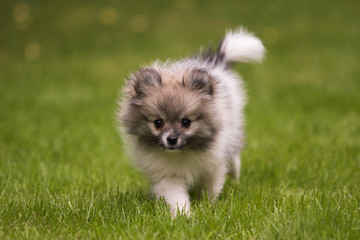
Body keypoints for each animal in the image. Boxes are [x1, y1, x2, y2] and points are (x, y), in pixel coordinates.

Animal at [118, 27, 264, 217]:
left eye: (186, 122)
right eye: (158, 122)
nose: (172, 139)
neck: (183, 152)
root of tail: (215, 61)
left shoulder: (213, 166)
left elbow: (210, 189)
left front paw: (208, 206)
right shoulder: (167, 175)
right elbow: (176, 196)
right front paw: (183, 216)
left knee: (234, 156)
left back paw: (235, 176)